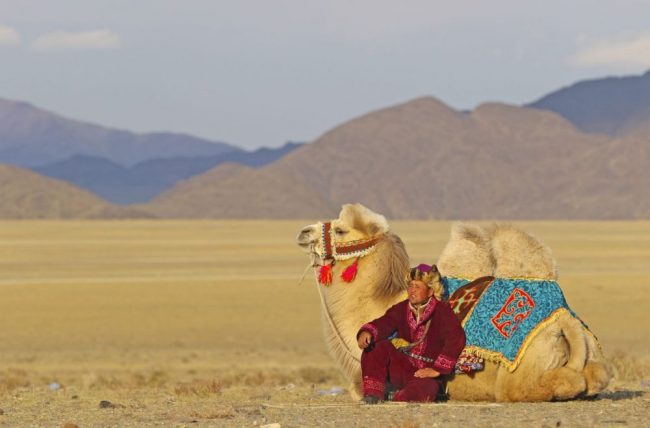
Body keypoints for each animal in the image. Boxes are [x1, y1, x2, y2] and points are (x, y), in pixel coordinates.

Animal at [296, 203, 610, 402]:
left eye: (340, 230)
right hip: (590, 355)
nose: (303, 232)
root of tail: (563, 318)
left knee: (559, 383)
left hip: (519, 373)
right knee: (597, 376)